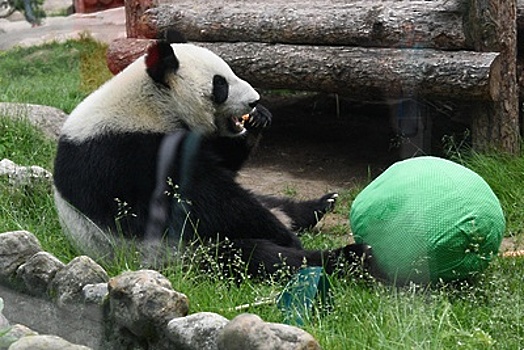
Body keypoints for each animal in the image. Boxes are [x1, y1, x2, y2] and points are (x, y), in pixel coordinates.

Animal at [53, 37, 370, 278]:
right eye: (221, 85)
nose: (254, 101)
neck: (152, 104)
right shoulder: (124, 154)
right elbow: (202, 201)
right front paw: (285, 237)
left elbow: (223, 168)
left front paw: (258, 120)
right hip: (179, 252)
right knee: (257, 256)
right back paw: (347, 257)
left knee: (268, 203)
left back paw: (318, 206)